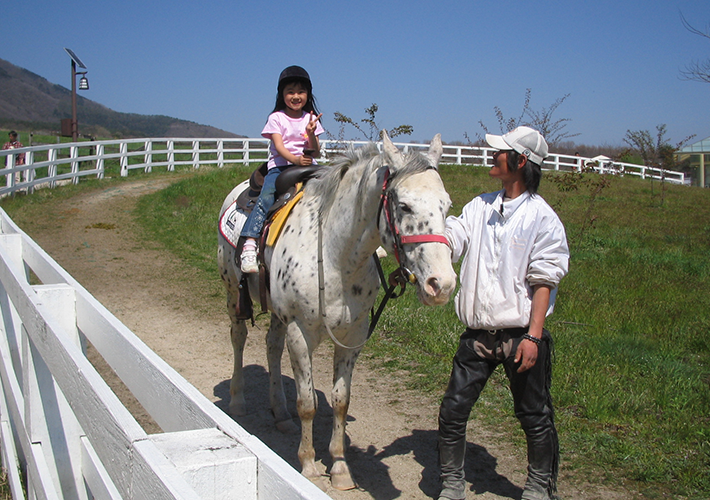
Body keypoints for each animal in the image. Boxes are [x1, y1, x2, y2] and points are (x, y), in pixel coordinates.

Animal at [217, 131, 456, 490]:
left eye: (447, 206)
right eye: (404, 205)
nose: (441, 284)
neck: (334, 255)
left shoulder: (353, 336)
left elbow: (341, 401)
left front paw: (341, 468)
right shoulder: (300, 332)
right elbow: (308, 403)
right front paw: (308, 464)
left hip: (278, 313)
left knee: (272, 347)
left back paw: (280, 413)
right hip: (234, 292)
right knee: (239, 337)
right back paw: (237, 400)